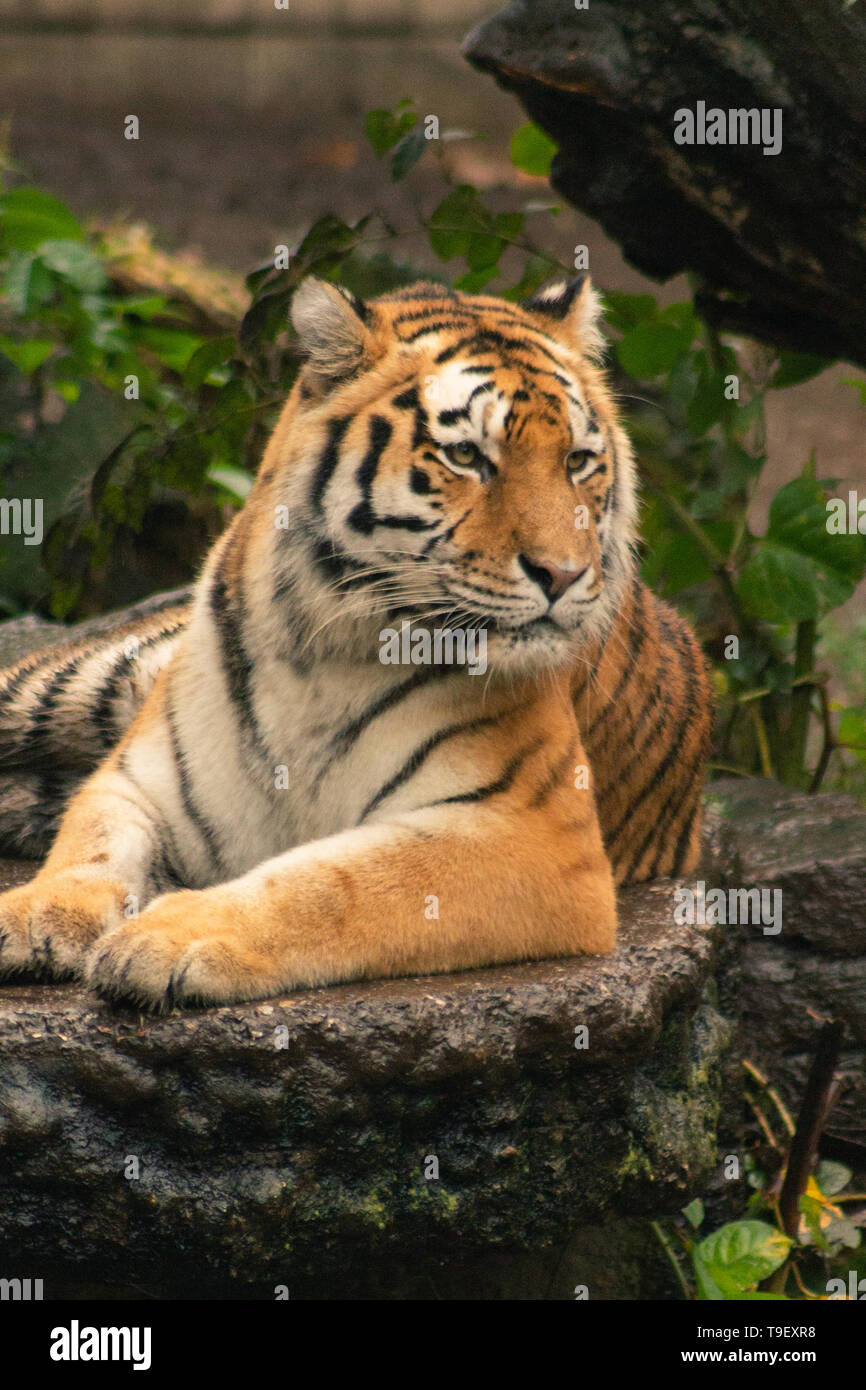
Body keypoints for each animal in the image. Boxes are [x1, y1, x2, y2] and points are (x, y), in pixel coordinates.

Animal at [0, 273, 711, 1011]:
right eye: (466, 456)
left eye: (578, 462)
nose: (564, 574)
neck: (319, 651)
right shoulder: (139, 782)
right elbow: (92, 846)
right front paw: (40, 911)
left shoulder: (533, 835)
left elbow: (328, 883)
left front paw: (171, 935)